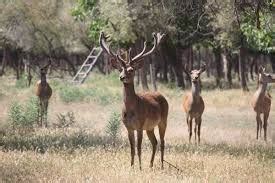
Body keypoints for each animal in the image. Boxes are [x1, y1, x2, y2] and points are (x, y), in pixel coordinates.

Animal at [99, 31, 168, 170]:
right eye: (120, 69)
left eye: (131, 70)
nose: (121, 77)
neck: (131, 109)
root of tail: (161, 94)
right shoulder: (129, 127)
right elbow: (131, 149)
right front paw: (131, 167)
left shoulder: (140, 125)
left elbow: (139, 148)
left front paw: (140, 168)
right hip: (150, 127)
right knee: (155, 142)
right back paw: (150, 165)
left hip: (163, 120)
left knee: (162, 142)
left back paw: (162, 165)